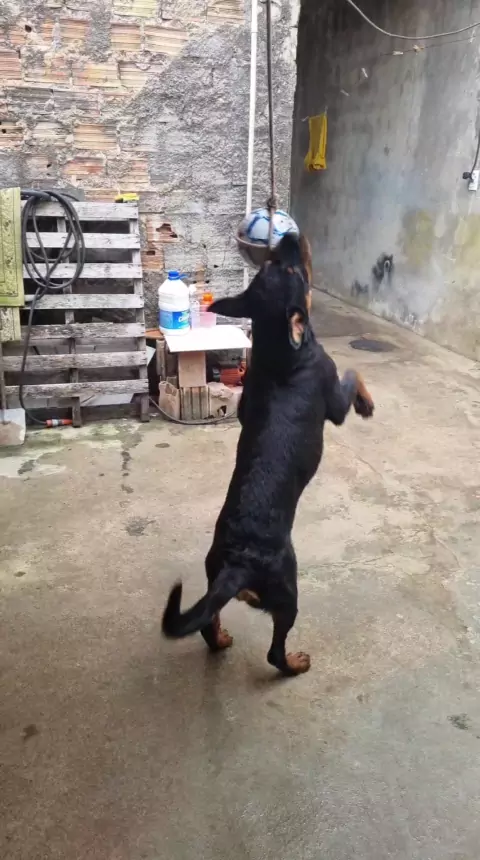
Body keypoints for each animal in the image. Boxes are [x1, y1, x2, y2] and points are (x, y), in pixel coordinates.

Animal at [162, 233, 374, 676]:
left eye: (275, 264)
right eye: (293, 270)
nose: (290, 235)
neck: (281, 349)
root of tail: (238, 563)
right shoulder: (334, 400)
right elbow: (352, 375)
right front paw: (366, 403)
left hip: (213, 578)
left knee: (207, 623)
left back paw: (223, 638)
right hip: (288, 589)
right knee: (274, 651)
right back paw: (296, 663)